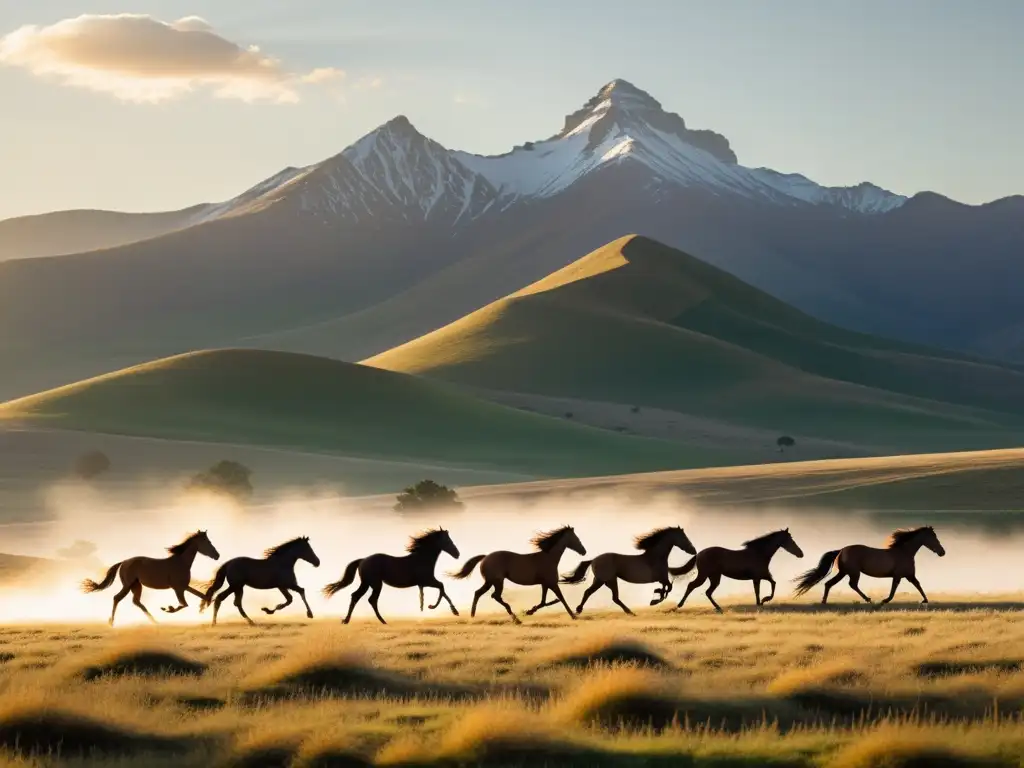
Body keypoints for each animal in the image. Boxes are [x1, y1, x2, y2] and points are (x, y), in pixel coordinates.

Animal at [81, 532, 220, 626]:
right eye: (207, 542)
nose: (217, 555)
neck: (181, 562)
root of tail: (124, 562)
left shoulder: (184, 586)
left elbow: (201, 595)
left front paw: (205, 605)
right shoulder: (178, 588)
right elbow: (183, 604)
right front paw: (167, 608)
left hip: (136, 585)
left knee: (136, 601)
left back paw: (154, 621)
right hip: (128, 585)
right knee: (117, 598)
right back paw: (112, 622)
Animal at [323, 528, 460, 626]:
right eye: (447, 541)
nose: (457, 554)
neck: (422, 559)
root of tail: (363, 560)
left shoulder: (426, 582)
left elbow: (442, 590)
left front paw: (452, 611)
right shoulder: (426, 581)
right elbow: (442, 587)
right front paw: (437, 607)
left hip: (366, 583)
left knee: (355, 596)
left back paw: (346, 620)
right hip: (376, 584)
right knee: (371, 600)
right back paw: (383, 621)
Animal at [448, 524, 585, 626]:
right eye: (576, 538)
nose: (584, 551)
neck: (548, 558)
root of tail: (485, 557)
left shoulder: (545, 584)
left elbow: (543, 602)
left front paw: (530, 611)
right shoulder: (552, 583)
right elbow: (561, 598)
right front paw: (574, 616)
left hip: (491, 582)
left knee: (479, 593)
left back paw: (473, 616)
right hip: (497, 581)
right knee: (494, 596)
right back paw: (516, 619)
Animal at [561, 528, 696, 618]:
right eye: (683, 537)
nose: (693, 550)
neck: (655, 557)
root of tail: (594, 560)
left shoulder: (661, 579)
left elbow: (667, 588)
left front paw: (656, 596)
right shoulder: (661, 578)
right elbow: (668, 587)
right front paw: (654, 600)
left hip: (604, 580)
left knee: (608, 596)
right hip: (605, 580)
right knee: (596, 594)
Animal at [790, 528, 942, 606]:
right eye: (933, 538)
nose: (942, 552)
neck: (904, 551)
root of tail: (841, 550)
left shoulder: (909, 575)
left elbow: (918, 585)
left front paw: (925, 600)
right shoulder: (900, 575)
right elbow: (894, 589)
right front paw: (884, 600)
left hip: (843, 572)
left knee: (829, 584)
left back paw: (824, 601)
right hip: (853, 572)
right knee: (852, 585)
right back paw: (868, 599)